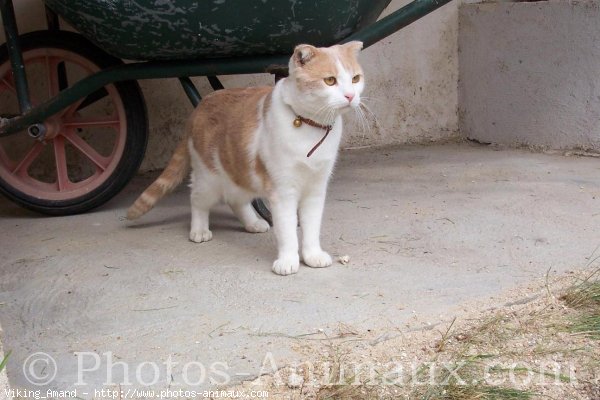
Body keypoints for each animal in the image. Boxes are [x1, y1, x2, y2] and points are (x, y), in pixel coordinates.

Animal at [127, 42, 366, 276]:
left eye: (355, 79)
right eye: (330, 80)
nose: (350, 96)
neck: (310, 127)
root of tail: (201, 105)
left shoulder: (316, 188)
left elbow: (311, 227)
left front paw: (312, 255)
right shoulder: (282, 191)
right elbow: (287, 229)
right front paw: (288, 260)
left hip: (241, 171)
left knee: (236, 200)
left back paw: (253, 223)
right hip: (208, 179)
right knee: (197, 200)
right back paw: (199, 229)